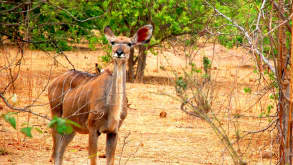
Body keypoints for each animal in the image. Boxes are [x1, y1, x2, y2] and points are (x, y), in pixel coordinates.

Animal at [48, 24, 153, 165]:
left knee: (61, 150)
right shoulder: (93, 129)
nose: (119, 52)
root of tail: (53, 82)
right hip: (56, 117)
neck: (112, 109)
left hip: (71, 127)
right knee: (56, 150)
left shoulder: (113, 132)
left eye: (129, 43)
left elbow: (110, 160)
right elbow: (93, 160)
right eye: (113, 42)